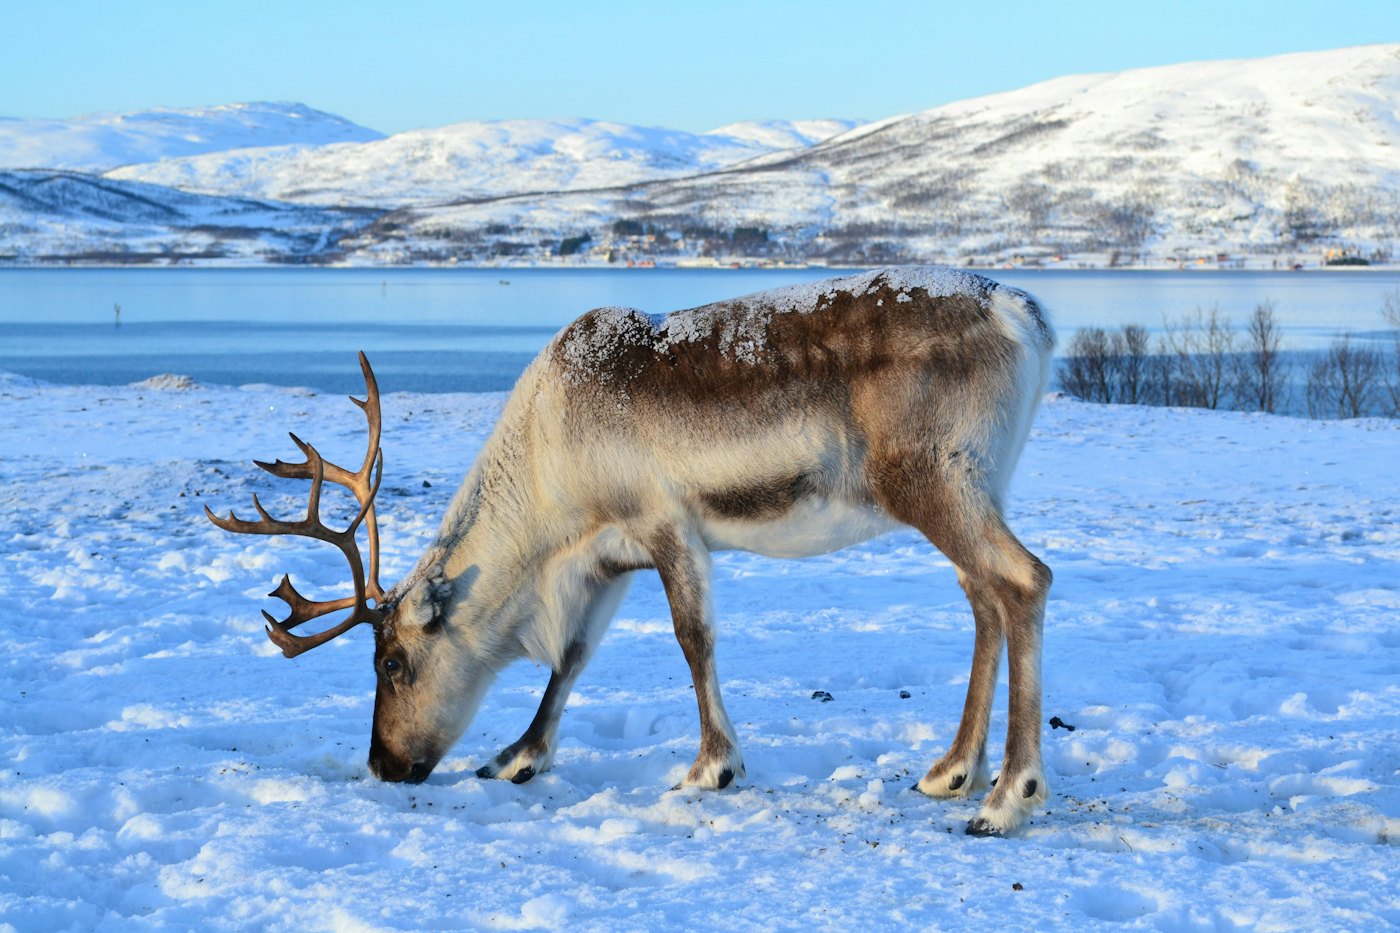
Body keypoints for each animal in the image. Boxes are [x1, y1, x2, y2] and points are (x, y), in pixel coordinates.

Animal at [206, 266, 1055, 836]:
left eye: (391, 661)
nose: (383, 763)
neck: (545, 475)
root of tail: (1023, 311)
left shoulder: (666, 524)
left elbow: (692, 637)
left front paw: (712, 765)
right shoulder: (606, 558)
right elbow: (571, 657)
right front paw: (517, 755)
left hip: (933, 479)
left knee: (1024, 579)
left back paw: (1006, 795)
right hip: (973, 486)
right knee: (982, 598)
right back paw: (951, 770)